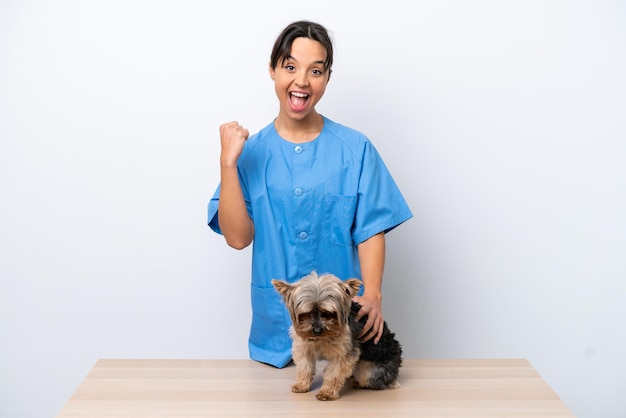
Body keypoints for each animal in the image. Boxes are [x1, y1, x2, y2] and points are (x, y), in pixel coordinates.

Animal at [270, 272, 402, 402]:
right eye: (306, 314)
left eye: (328, 313)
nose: (317, 330)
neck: (322, 338)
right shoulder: (303, 346)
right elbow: (304, 367)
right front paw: (301, 385)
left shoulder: (343, 353)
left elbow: (334, 374)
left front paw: (327, 392)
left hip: (370, 370)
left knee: (373, 380)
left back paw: (359, 382)